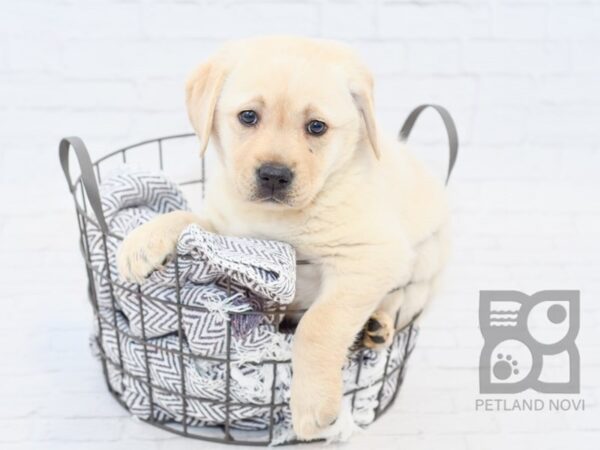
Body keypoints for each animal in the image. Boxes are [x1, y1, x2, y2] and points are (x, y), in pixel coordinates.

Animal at [117, 36, 448, 440]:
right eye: (248, 117)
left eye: (317, 127)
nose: (274, 175)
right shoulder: (230, 233)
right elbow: (189, 219)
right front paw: (142, 241)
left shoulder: (370, 256)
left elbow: (319, 324)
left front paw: (312, 405)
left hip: (426, 263)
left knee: (402, 300)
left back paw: (378, 327)